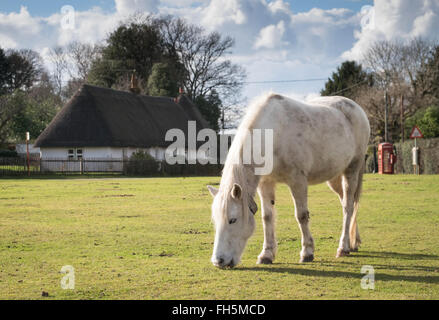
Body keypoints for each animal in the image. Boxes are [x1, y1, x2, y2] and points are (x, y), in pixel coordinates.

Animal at [210, 92, 372, 268]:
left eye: (232, 220)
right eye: (215, 220)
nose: (218, 261)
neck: (274, 133)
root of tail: (356, 108)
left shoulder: (297, 180)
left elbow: (301, 215)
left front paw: (307, 252)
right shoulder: (265, 183)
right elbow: (267, 217)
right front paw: (267, 254)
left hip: (352, 170)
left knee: (348, 207)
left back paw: (343, 247)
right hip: (335, 177)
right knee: (348, 203)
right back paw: (354, 243)